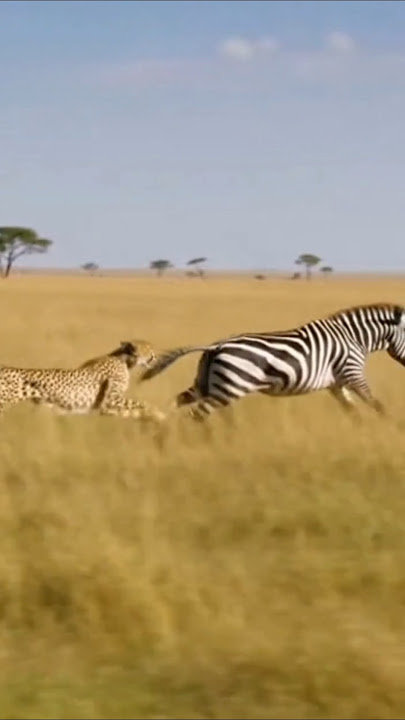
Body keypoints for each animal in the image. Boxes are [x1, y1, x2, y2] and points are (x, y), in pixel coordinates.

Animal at [139, 303, 405, 422]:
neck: (355, 337)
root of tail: (216, 346)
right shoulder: (352, 372)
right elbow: (376, 404)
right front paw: (392, 428)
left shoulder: (336, 383)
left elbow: (353, 411)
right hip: (230, 387)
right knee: (197, 413)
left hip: (207, 383)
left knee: (179, 401)